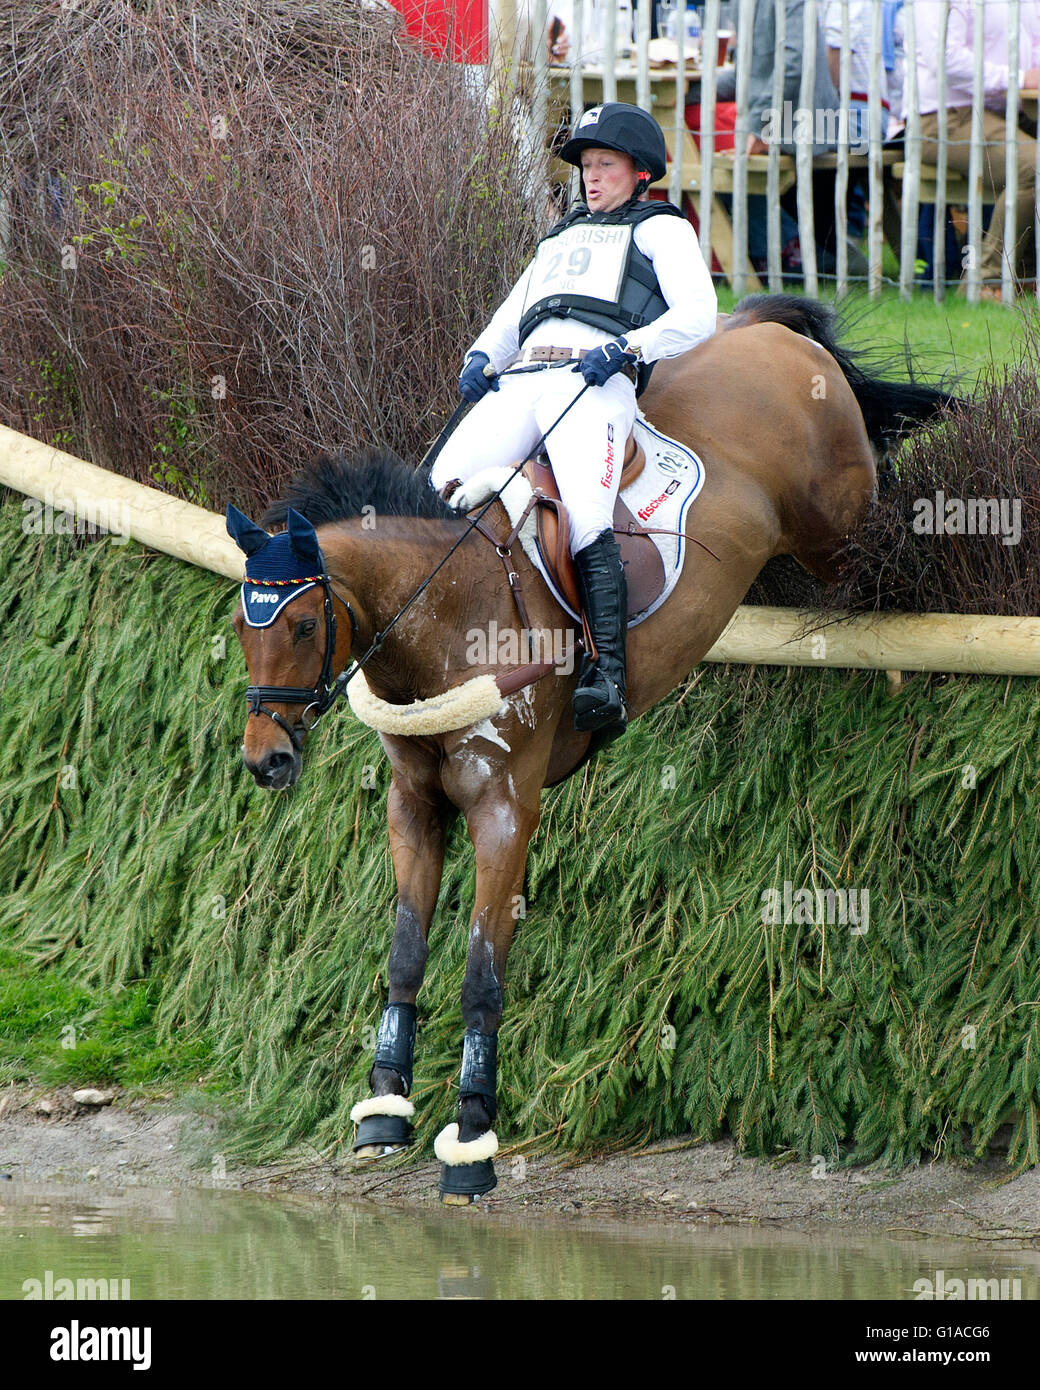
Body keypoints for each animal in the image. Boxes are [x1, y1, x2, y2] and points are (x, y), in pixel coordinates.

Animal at [225, 296, 951, 1206]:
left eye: (301, 625)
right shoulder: (414, 805)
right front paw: (385, 1107)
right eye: (242, 627)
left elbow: (482, 976)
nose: (267, 761)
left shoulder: (506, 810)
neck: (448, 614)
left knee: (884, 538)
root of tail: (768, 332)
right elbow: (404, 954)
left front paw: (472, 1138)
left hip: (839, 527)